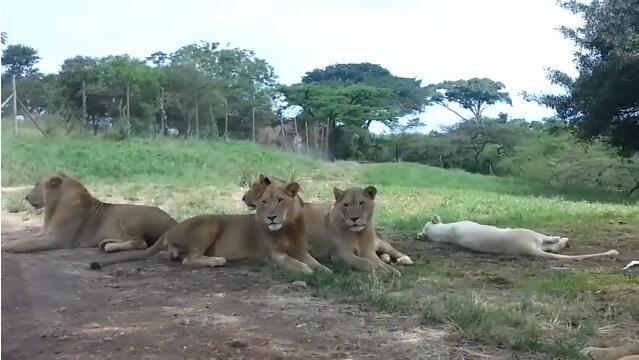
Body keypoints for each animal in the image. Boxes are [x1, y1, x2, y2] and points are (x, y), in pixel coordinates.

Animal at [1, 172, 176, 253]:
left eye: (37, 184)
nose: (26, 197)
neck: (54, 206)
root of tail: (173, 221)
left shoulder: (57, 240)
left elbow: (29, 243)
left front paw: (10, 246)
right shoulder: (46, 233)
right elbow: (28, 238)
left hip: (130, 218)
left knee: (141, 243)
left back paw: (111, 247)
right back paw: (107, 242)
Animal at [90, 176, 330, 274]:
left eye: (280, 201)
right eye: (264, 202)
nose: (271, 218)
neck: (288, 226)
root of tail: (171, 229)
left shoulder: (302, 250)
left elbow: (318, 264)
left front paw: (325, 270)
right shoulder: (275, 255)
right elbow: (296, 264)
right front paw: (306, 270)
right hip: (210, 224)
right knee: (189, 259)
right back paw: (217, 260)